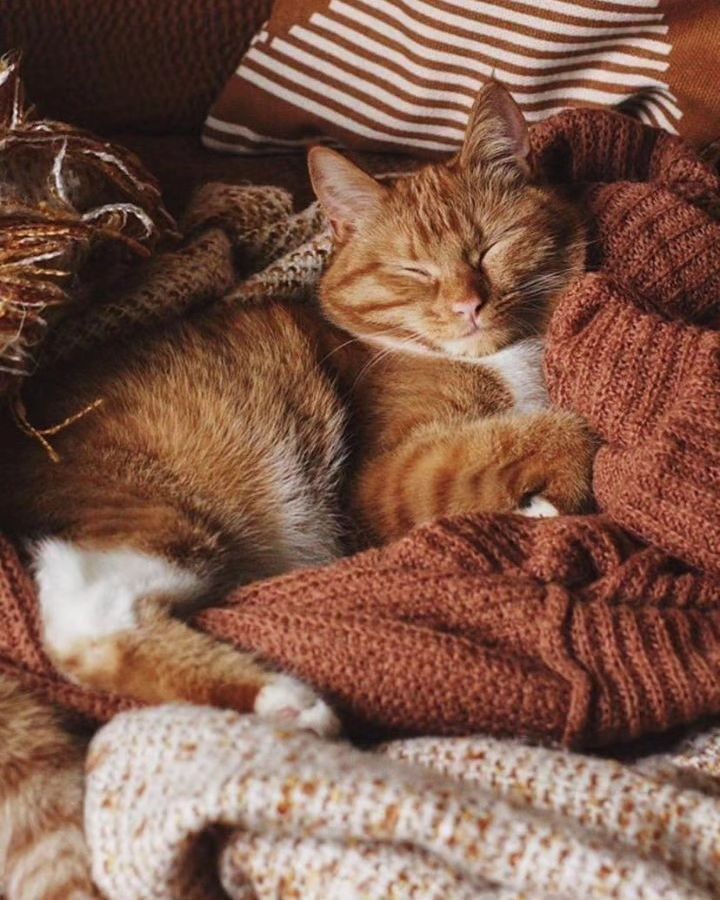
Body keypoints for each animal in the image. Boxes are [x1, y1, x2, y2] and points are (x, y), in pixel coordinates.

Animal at [0, 81, 592, 896]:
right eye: (413, 272)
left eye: (491, 247)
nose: (469, 306)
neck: (503, 359)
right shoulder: (388, 478)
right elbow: (522, 438)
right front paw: (564, 473)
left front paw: (536, 502)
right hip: (163, 508)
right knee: (84, 622)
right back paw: (280, 700)